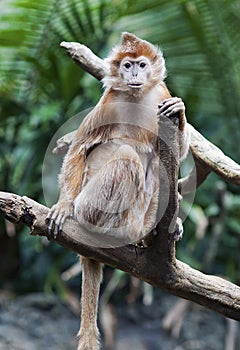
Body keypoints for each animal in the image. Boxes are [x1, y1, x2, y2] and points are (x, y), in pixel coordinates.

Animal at [46, 31, 189, 348]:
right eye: (126, 65)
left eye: (141, 64)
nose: (134, 74)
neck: (136, 96)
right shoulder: (107, 103)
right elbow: (78, 149)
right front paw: (61, 206)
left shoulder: (161, 94)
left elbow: (182, 150)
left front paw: (181, 111)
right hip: (89, 204)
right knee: (126, 155)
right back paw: (129, 233)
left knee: (156, 161)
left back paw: (155, 231)